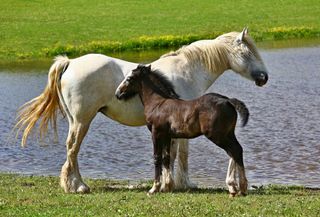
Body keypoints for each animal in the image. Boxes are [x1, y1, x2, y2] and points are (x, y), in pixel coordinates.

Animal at [115, 65, 250, 197]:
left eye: (129, 78)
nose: (118, 94)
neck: (158, 103)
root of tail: (227, 100)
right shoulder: (167, 135)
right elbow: (166, 157)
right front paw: (166, 187)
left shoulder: (156, 133)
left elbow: (157, 157)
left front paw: (154, 188)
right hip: (228, 134)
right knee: (237, 150)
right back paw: (238, 188)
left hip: (217, 135)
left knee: (234, 151)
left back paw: (239, 188)